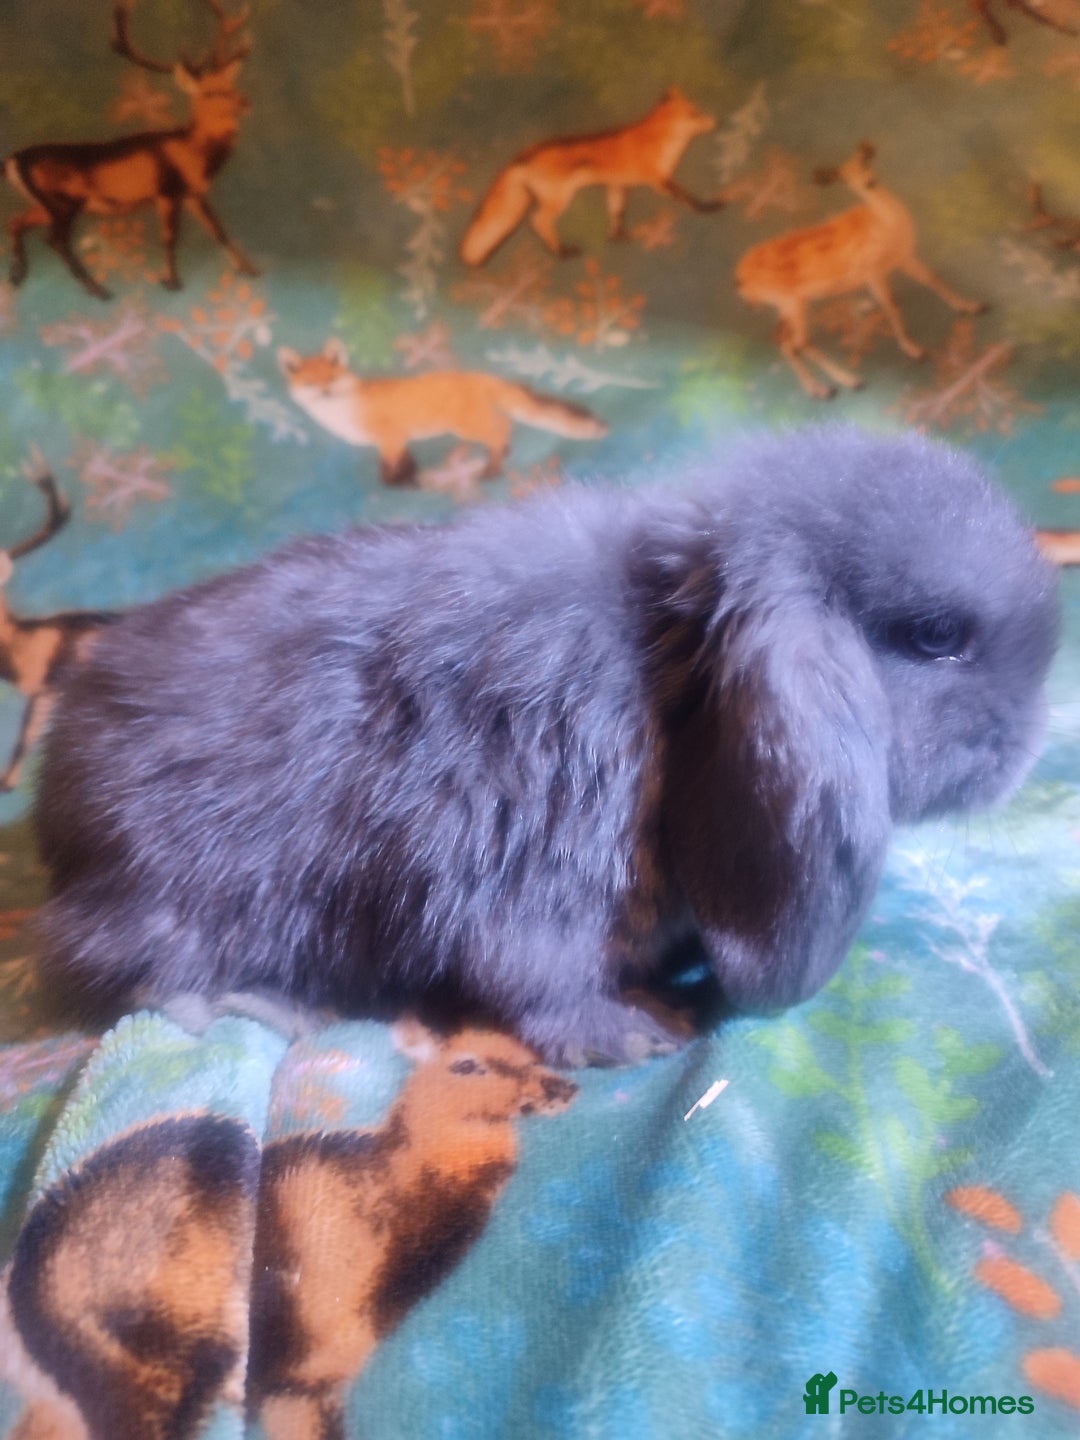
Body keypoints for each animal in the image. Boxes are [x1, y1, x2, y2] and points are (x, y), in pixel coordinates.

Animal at [32, 425, 1059, 1067]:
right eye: (934, 636)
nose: (1030, 747)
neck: (676, 670)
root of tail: (55, 800)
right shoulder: (536, 868)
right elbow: (536, 981)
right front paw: (632, 1033)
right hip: (180, 896)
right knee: (126, 969)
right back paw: (252, 1003)